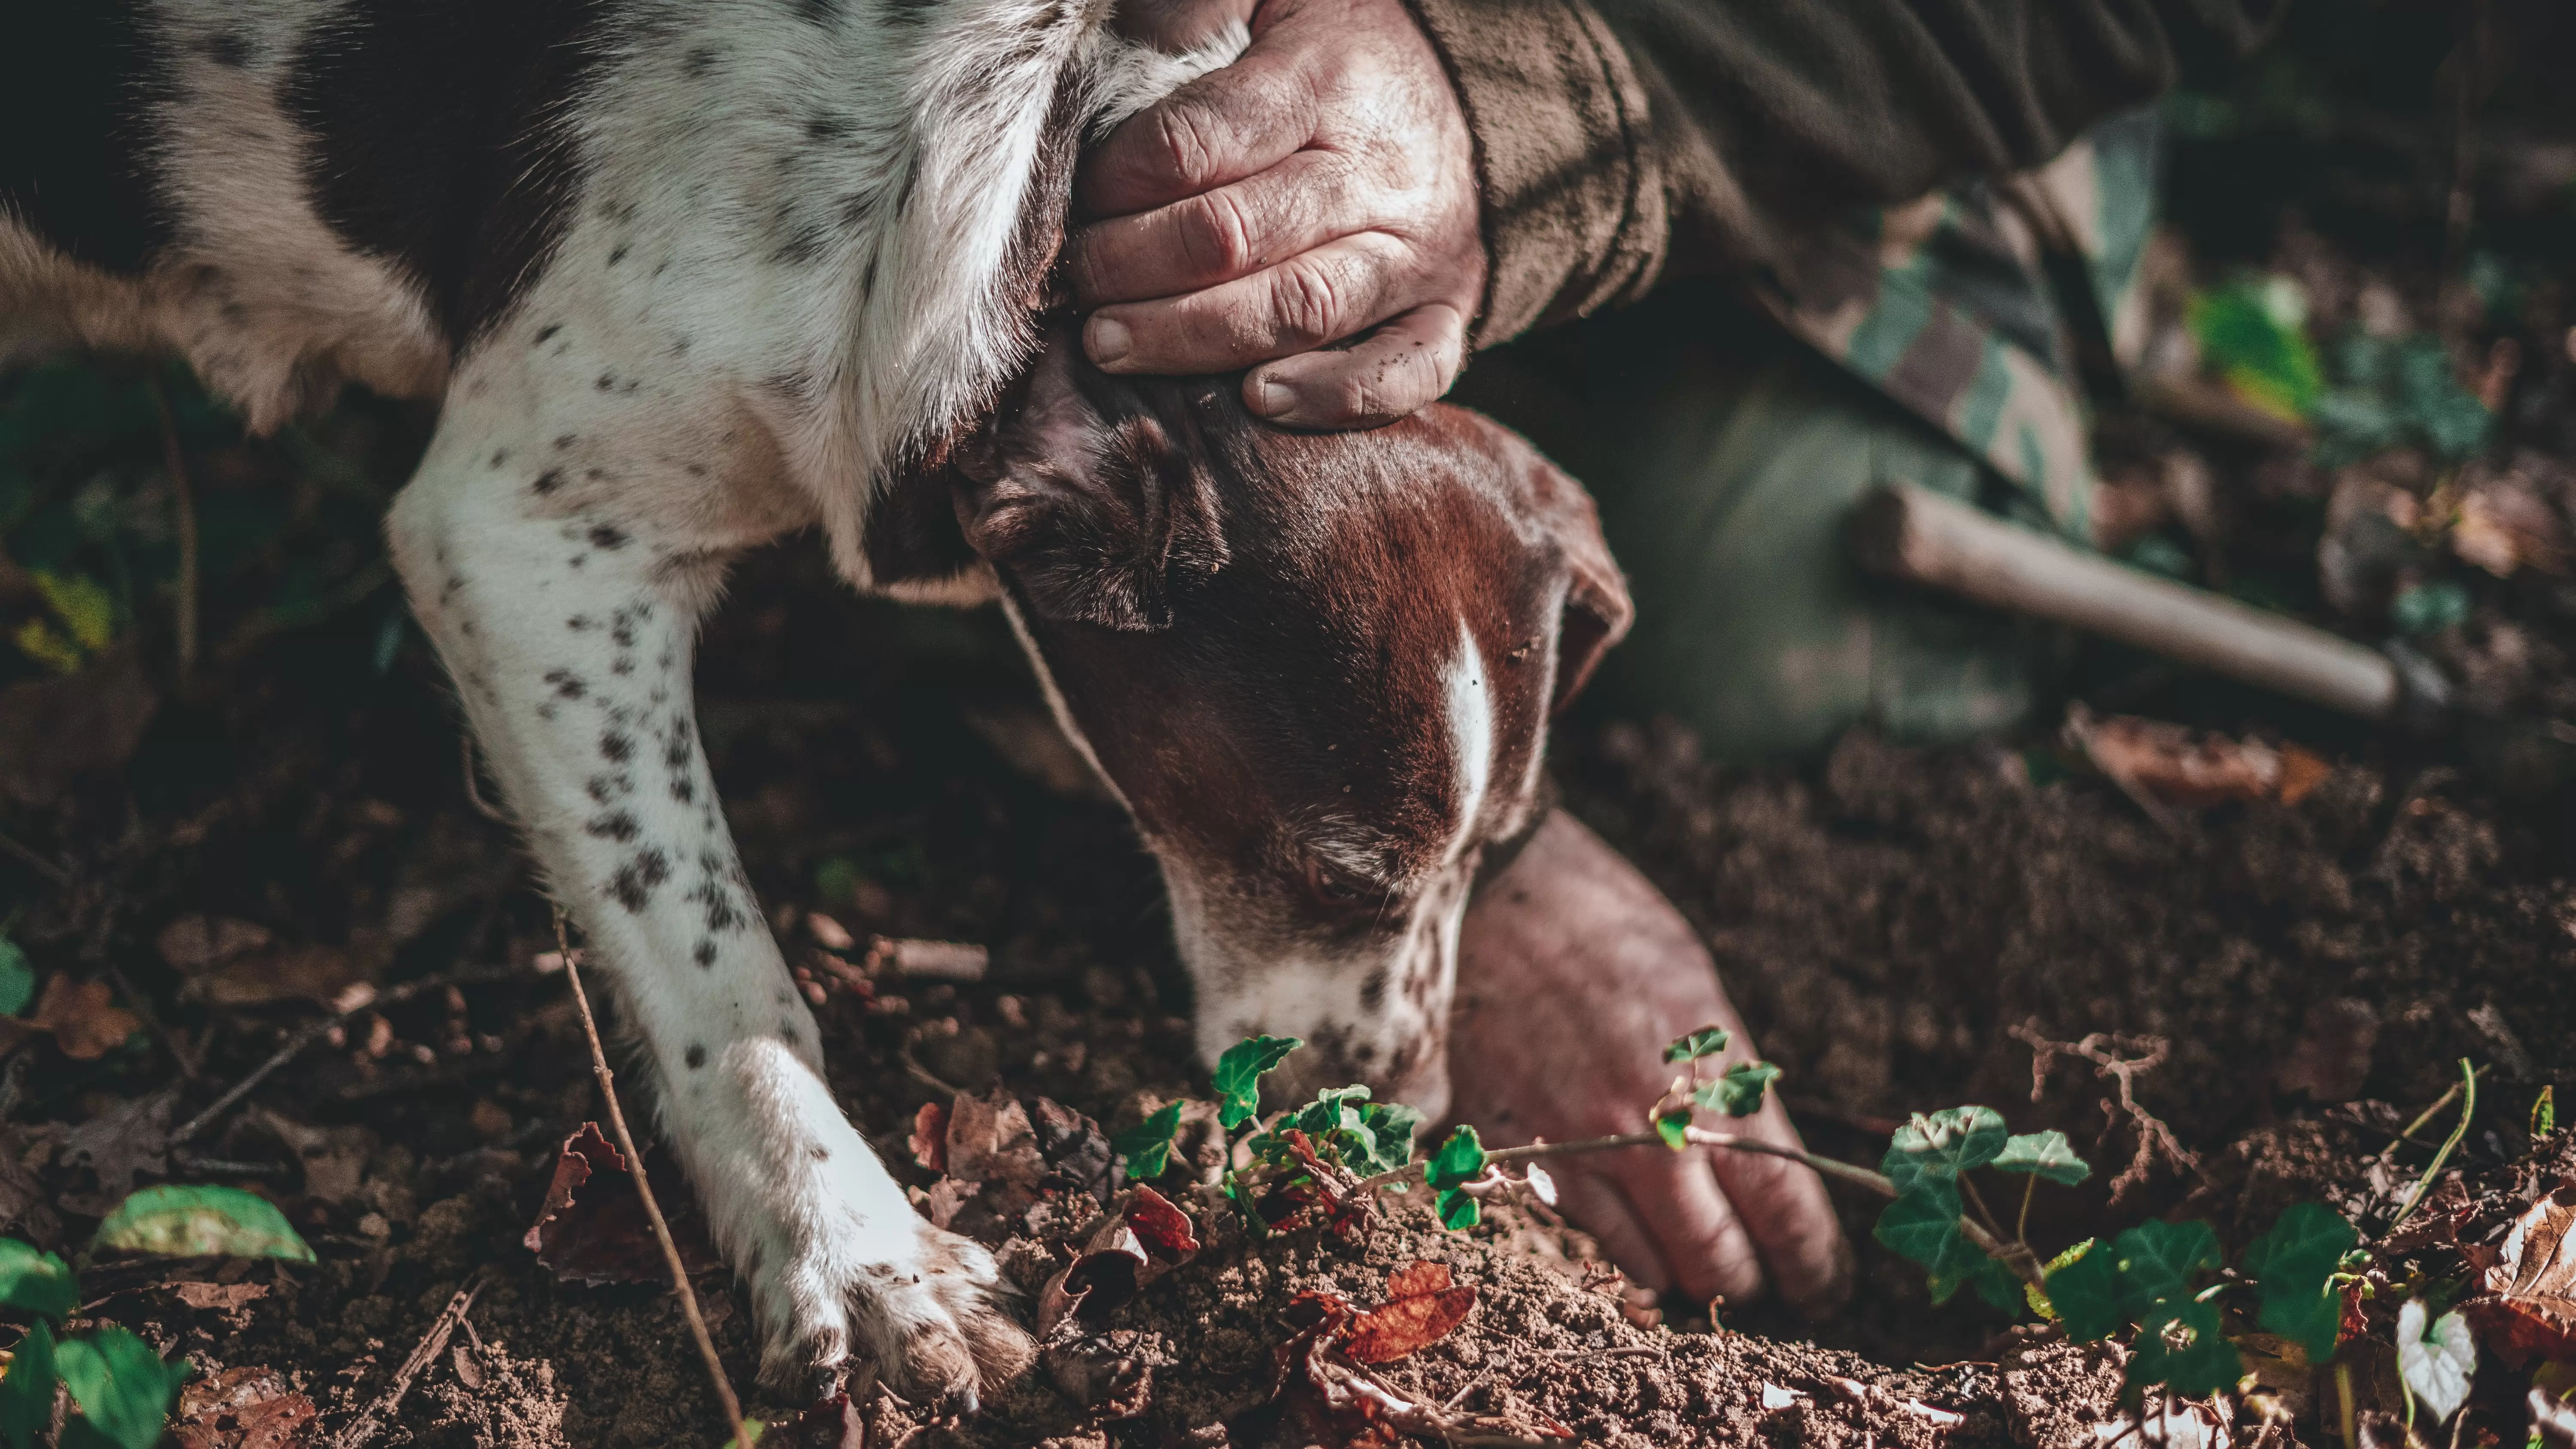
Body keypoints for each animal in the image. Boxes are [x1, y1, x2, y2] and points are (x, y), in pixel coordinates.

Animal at [5, 0, 1628, 1410]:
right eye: (1332, 874)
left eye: (1501, 853)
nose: (1405, 1119)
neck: (1016, 184)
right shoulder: (522, 539)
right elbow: (724, 969)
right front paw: (856, 1251)